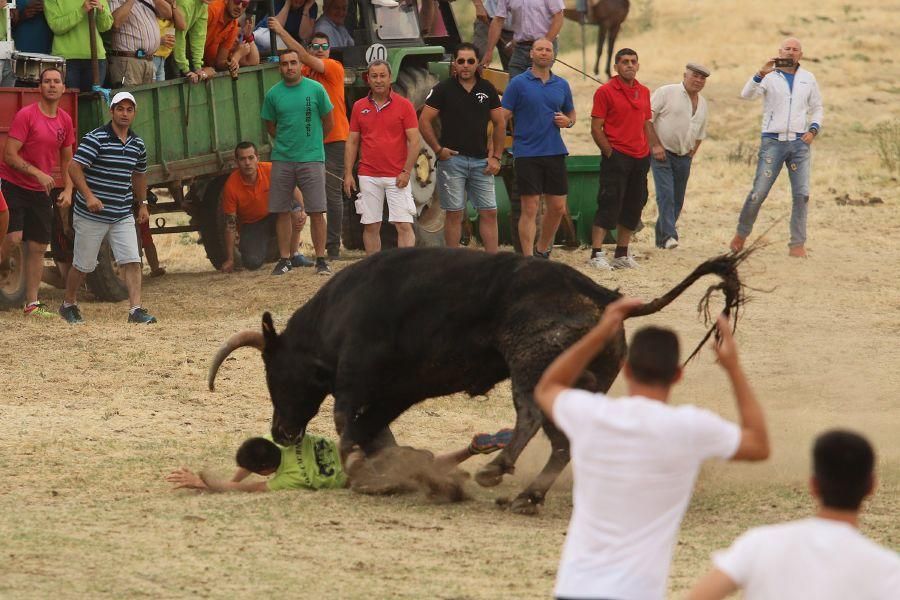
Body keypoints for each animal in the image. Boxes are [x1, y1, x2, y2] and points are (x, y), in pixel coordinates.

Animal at [209, 246, 744, 512]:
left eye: (274, 372)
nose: (281, 433)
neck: (335, 317)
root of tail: (603, 296)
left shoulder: (356, 381)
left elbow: (348, 428)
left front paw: (366, 474)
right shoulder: (390, 394)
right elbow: (374, 433)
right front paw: (393, 471)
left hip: (531, 368)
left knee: (531, 417)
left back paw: (497, 469)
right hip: (578, 385)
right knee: (564, 441)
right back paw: (526, 495)